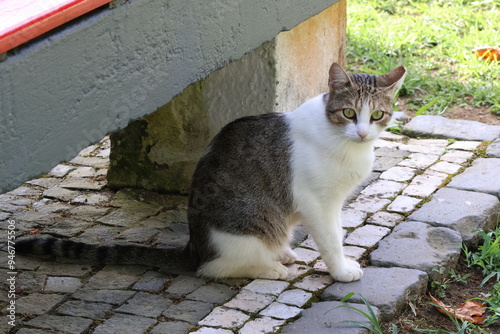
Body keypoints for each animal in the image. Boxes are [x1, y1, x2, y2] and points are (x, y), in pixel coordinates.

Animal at [16, 62, 406, 282]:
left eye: (376, 115)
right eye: (348, 113)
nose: (362, 132)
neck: (347, 145)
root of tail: (195, 246)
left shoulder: (335, 202)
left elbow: (337, 233)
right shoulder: (316, 202)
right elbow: (329, 238)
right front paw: (340, 270)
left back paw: (282, 253)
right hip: (249, 230)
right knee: (217, 268)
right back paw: (271, 268)